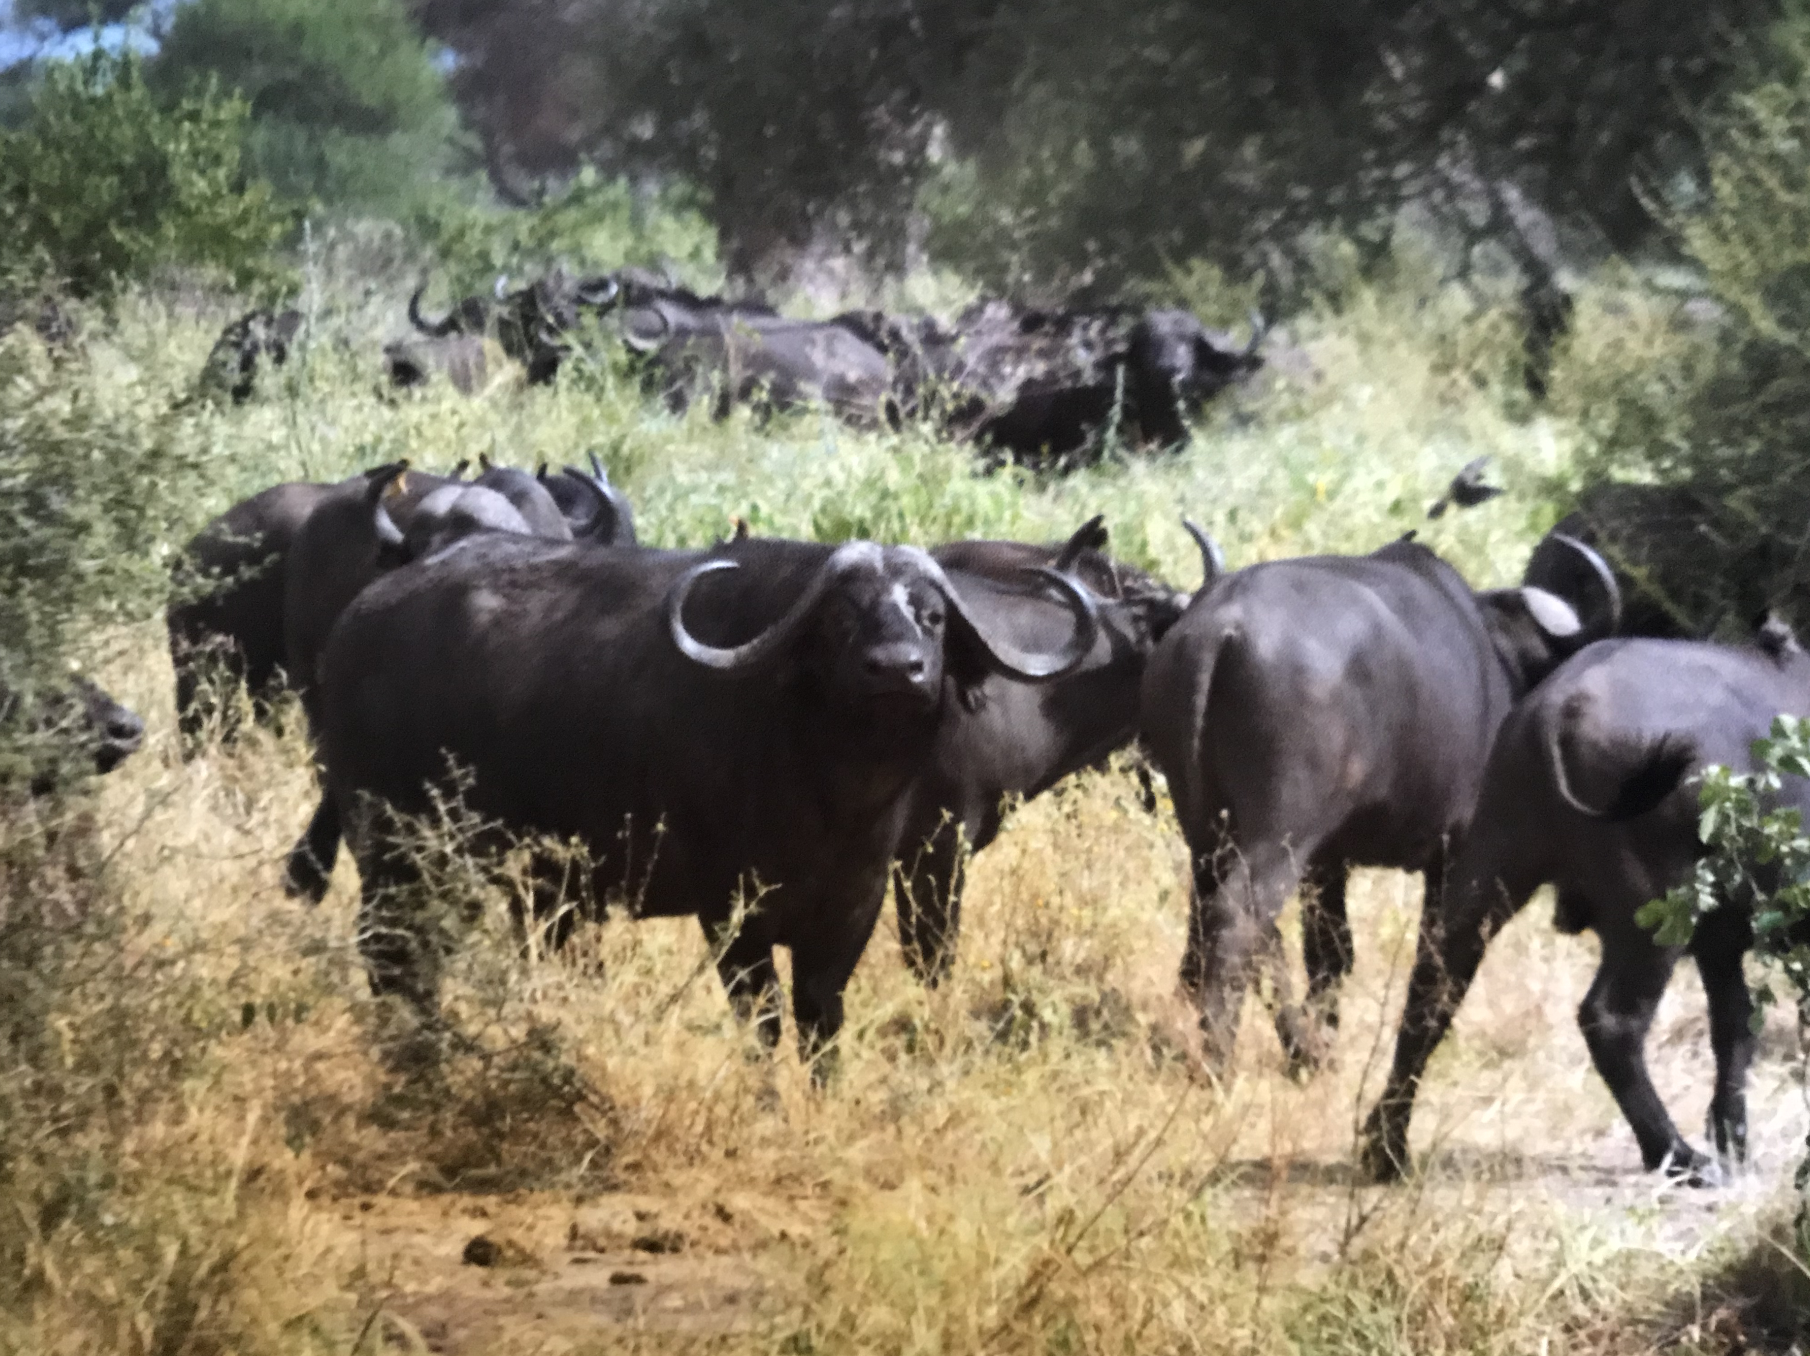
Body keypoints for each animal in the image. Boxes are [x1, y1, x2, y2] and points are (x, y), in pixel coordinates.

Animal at [317, 533, 1099, 1065]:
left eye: (933, 617)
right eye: (839, 619)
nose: (897, 670)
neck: (831, 796)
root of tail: (355, 622)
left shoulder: (856, 905)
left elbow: (820, 1022)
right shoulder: (729, 911)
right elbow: (763, 1025)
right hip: (396, 853)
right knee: (392, 953)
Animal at [1140, 531, 1621, 1071]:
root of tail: (1223, 628)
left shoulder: (1330, 860)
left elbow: (1332, 950)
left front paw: (1322, 1042)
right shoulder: (1453, 858)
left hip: (1207, 825)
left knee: (1220, 912)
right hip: (1280, 832)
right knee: (1240, 917)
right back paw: (1221, 1056)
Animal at [1360, 625, 1810, 1183]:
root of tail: (1558, 708)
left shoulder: (1721, 943)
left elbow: (1735, 1028)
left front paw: (1734, 1138)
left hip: (1488, 873)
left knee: (1431, 994)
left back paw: (1386, 1149)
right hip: (1654, 915)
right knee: (1610, 1021)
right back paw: (1675, 1153)